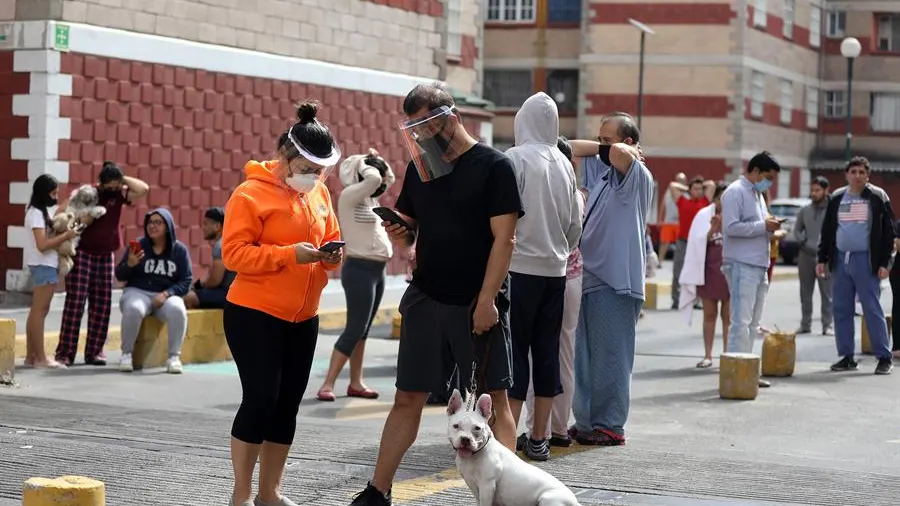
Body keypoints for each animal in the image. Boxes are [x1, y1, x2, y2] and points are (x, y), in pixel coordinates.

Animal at [444, 390, 584, 504]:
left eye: (477, 428)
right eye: (456, 426)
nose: (465, 439)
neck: (474, 456)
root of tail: (576, 503)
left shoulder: (487, 486)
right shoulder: (473, 486)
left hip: (548, 498)